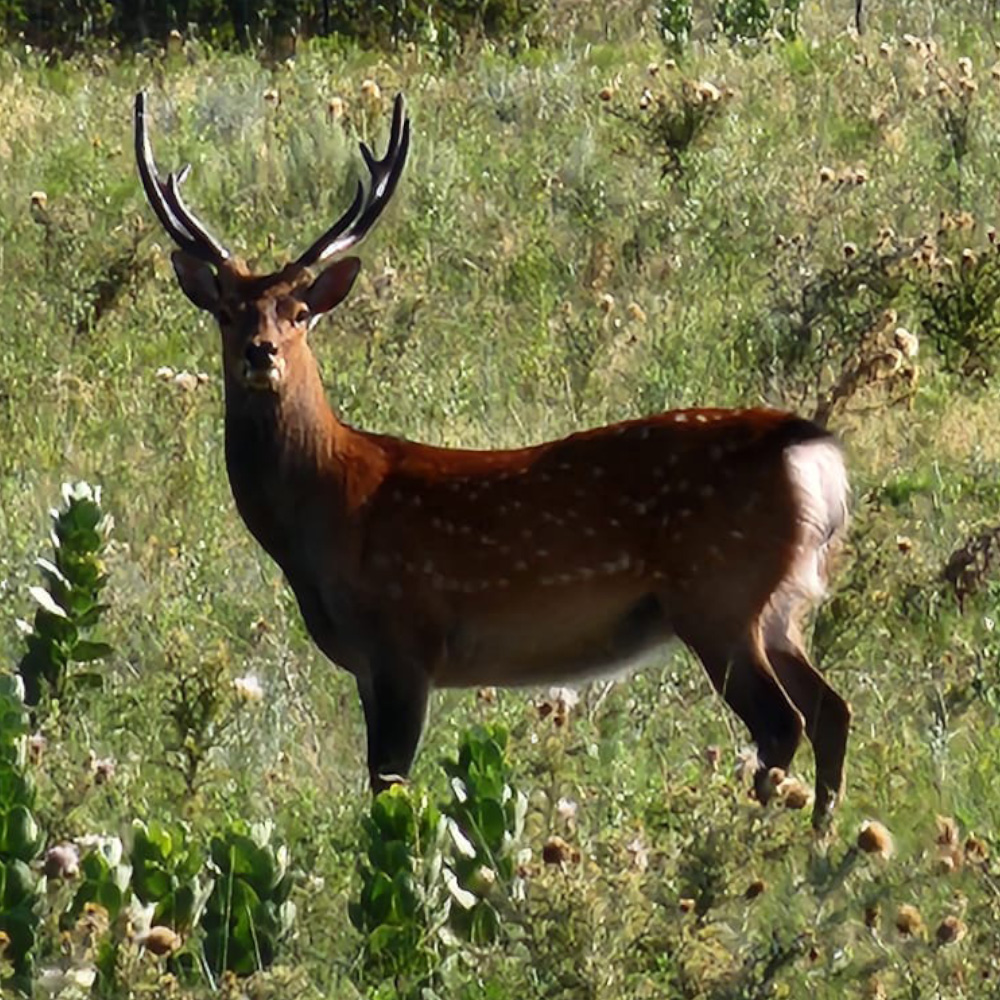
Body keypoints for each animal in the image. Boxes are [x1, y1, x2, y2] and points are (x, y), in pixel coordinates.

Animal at [133, 92, 852, 828]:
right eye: (226, 311)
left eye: (300, 311)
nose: (261, 352)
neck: (328, 507)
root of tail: (809, 448)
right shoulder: (369, 662)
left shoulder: (405, 638)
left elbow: (388, 784)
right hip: (778, 601)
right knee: (831, 709)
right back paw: (817, 838)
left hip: (719, 592)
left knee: (782, 722)